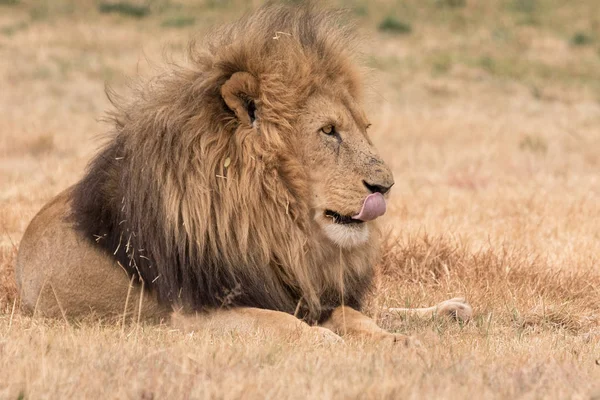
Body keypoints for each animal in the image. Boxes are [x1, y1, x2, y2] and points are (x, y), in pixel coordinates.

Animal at [14, 2, 472, 344]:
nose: (386, 186)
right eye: (328, 130)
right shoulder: (192, 313)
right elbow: (281, 322)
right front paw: (323, 339)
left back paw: (450, 310)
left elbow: (352, 313)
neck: (278, 223)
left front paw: (396, 337)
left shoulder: (301, 288)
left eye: (365, 128)